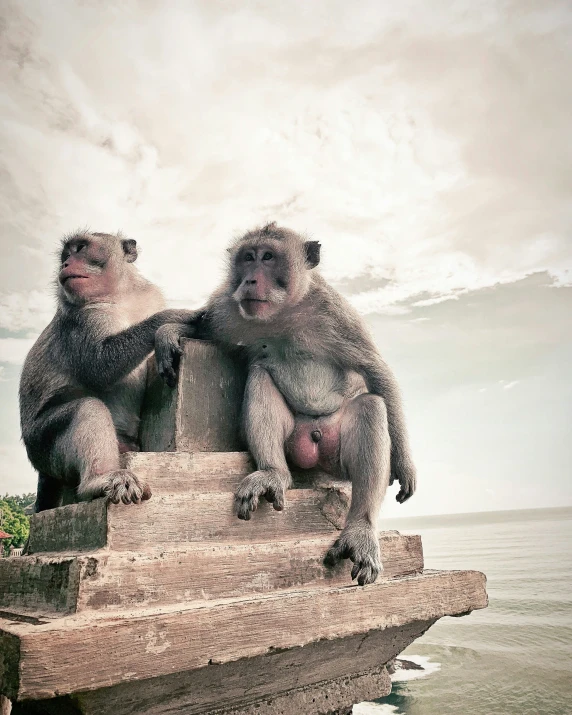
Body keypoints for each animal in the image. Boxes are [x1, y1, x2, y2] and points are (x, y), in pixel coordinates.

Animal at [19, 232, 197, 512]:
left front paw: (171, 332)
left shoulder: (150, 296)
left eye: (80, 248)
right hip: (42, 445)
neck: (121, 295)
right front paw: (176, 317)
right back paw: (100, 479)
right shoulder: (83, 318)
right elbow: (100, 366)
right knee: (87, 407)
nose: (65, 264)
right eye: (66, 255)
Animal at [155, 224, 416, 588]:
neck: (283, 313)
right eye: (248, 257)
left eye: (268, 257)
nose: (250, 279)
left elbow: (377, 373)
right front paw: (169, 332)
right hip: (297, 440)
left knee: (371, 407)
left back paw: (361, 530)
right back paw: (273, 473)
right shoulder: (226, 310)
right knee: (261, 373)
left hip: (333, 452)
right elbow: (206, 326)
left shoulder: (338, 314)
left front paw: (405, 465)